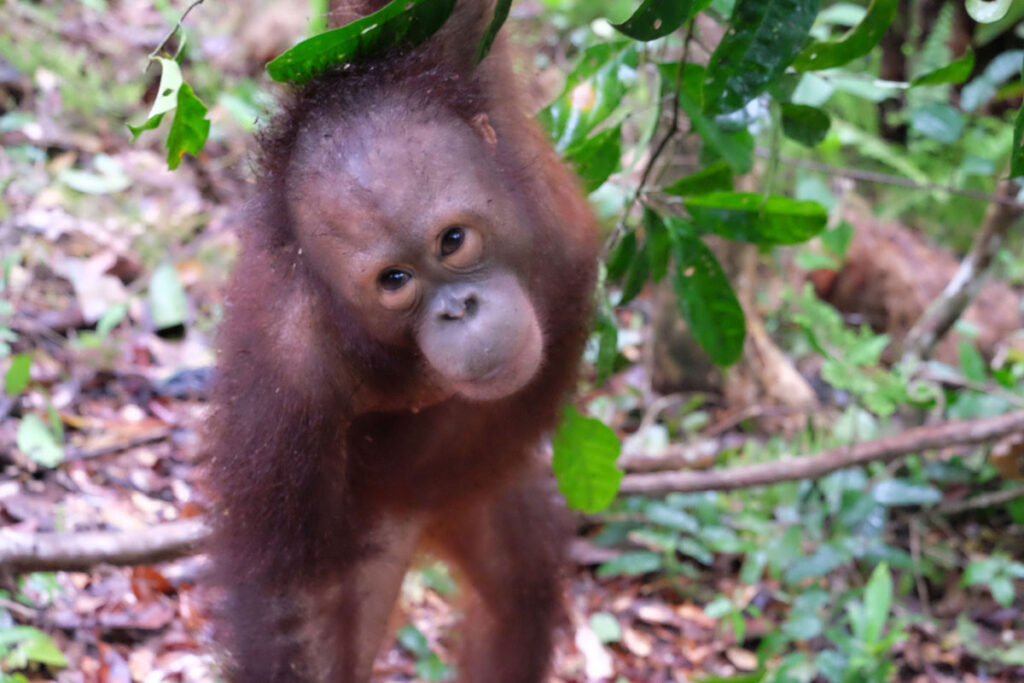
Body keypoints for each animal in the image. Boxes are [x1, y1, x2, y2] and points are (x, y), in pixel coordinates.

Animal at [205, 1, 600, 680]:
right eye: (395, 280)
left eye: (452, 241)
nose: (459, 309)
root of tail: (425, 521)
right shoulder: (286, 377)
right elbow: (291, 603)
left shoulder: (449, 63)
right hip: (373, 529)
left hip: (481, 492)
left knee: (517, 593)